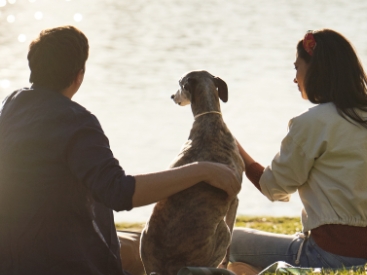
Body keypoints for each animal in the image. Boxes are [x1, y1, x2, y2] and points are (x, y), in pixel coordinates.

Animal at [139, 70, 246, 275]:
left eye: (179, 84)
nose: (172, 96)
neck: (209, 122)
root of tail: (170, 266)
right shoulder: (235, 199)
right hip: (223, 234)